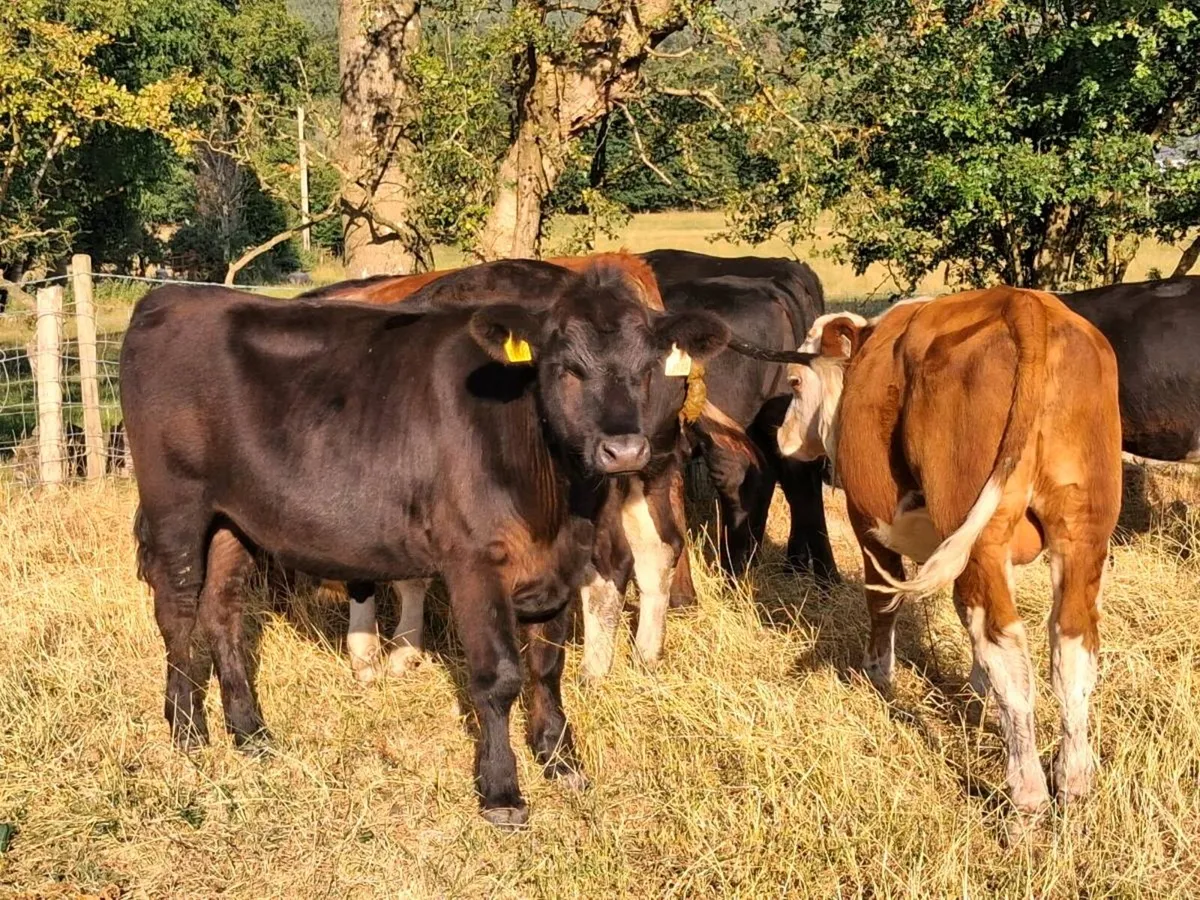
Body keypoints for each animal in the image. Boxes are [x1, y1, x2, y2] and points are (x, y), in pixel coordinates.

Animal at [119, 264, 731, 826]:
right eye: (565, 368)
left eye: (648, 368)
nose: (625, 450)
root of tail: (170, 297)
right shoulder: (473, 562)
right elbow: (498, 676)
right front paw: (501, 792)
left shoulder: (558, 564)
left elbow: (546, 666)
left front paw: (559, 759)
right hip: (176, 504)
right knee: (177, 610)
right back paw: (188, 732)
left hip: (235, 517)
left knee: (222, 610)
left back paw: (251, 734)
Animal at [775, 287, 1122, 814]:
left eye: (795, 382)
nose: (782, 438)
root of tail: (1026, 304)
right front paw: (975, 693)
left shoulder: (867, 523)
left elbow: (882, 603)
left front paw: (877, 677)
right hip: (1082, 529)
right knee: (1071, 647)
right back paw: (1074, 782)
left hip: (980, 534)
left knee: (1008, 652)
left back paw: (1027, 795)